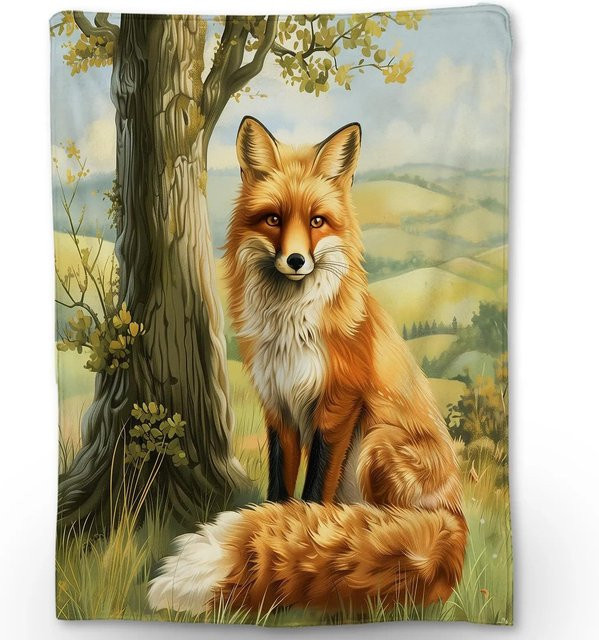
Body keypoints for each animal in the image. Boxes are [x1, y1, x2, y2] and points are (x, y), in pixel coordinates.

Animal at [148, 116, 467, 616]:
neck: (291, 330)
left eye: (317, 221)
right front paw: (278, 524)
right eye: (274, 218)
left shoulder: (337, 405)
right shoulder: (278, 407)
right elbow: (281, 487)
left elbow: (314, 494)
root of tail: (455, 523)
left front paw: (303, 534)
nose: (296, 260)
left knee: (386, 521)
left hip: (377, 442)